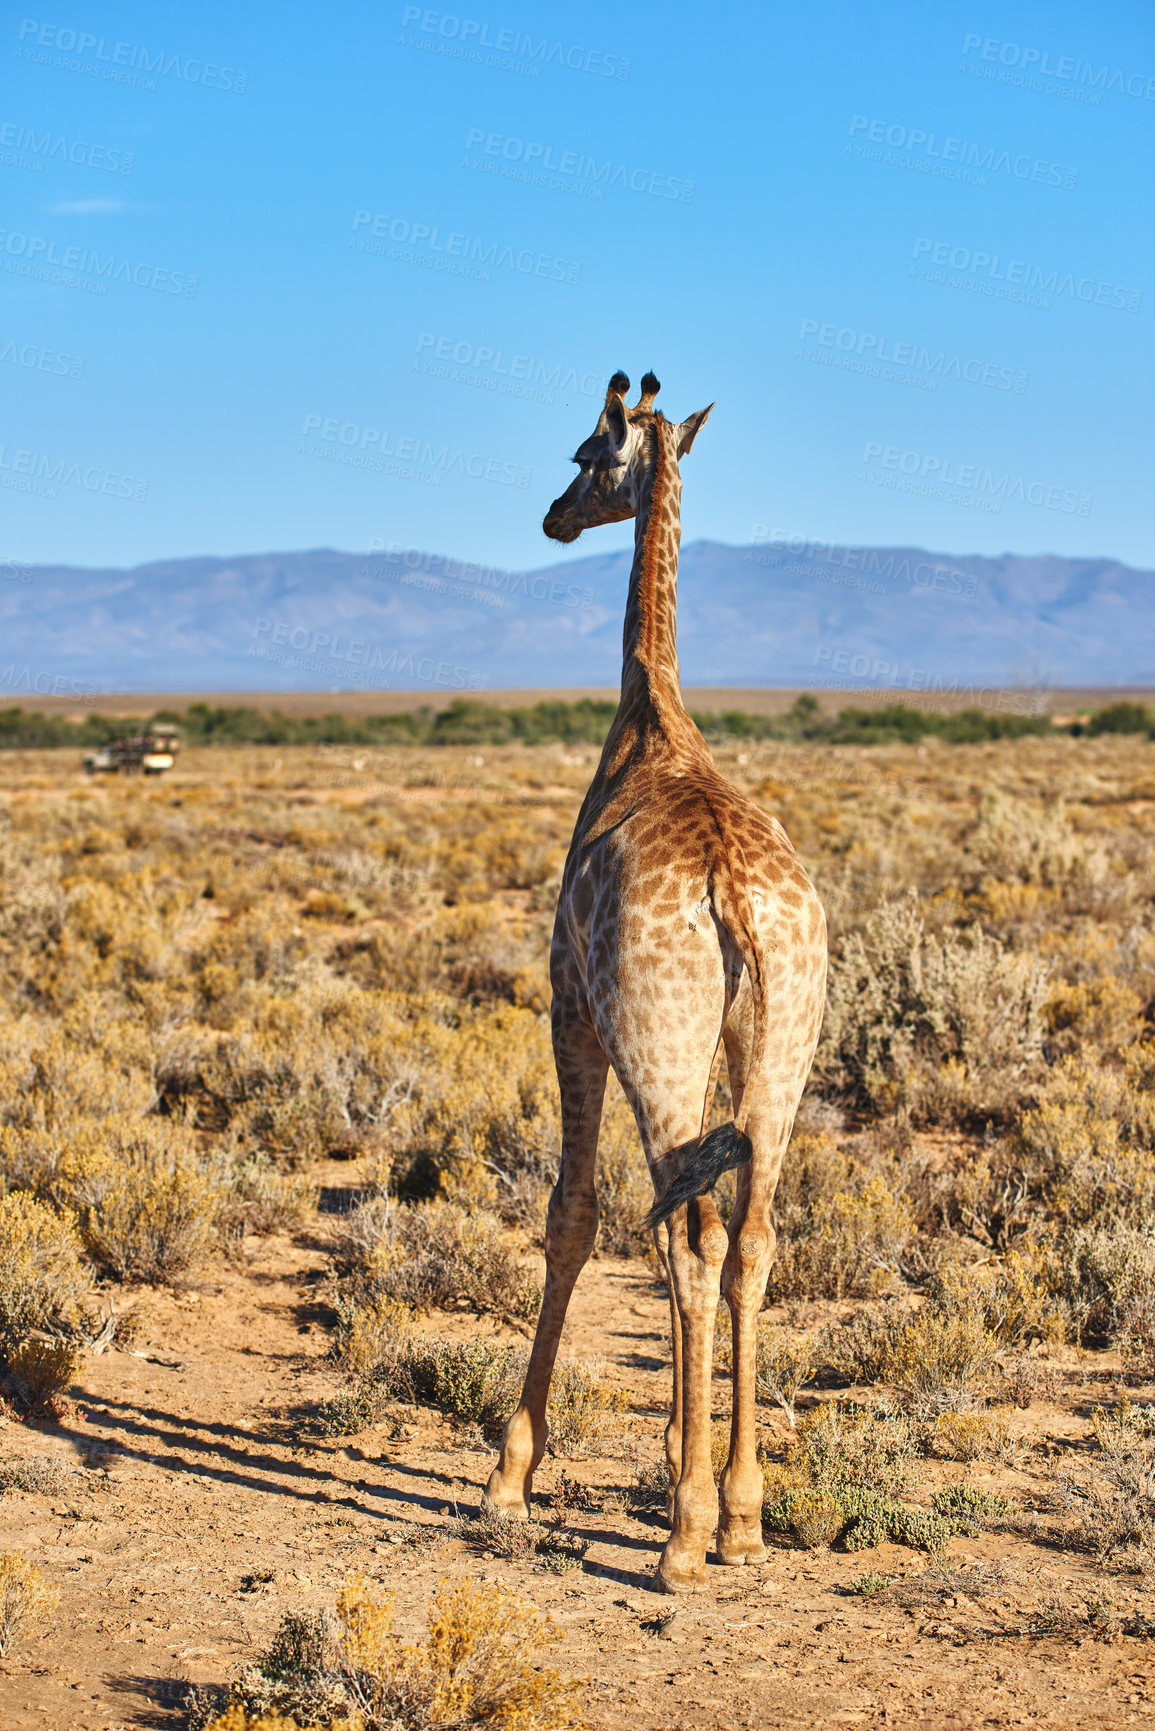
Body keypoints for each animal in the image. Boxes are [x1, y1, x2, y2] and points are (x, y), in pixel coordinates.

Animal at [484, 372, 827, 1585]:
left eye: (587, 455)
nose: (551, 516)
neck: (650, 720)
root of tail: (736, 901)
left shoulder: (569, 1009)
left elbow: (572, 1216)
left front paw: (510, 1474)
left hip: (658, 1049)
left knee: (683, 1236)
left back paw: (684, 1533)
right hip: (780, 1057)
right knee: (749, 1239)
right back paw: (742, 1513)